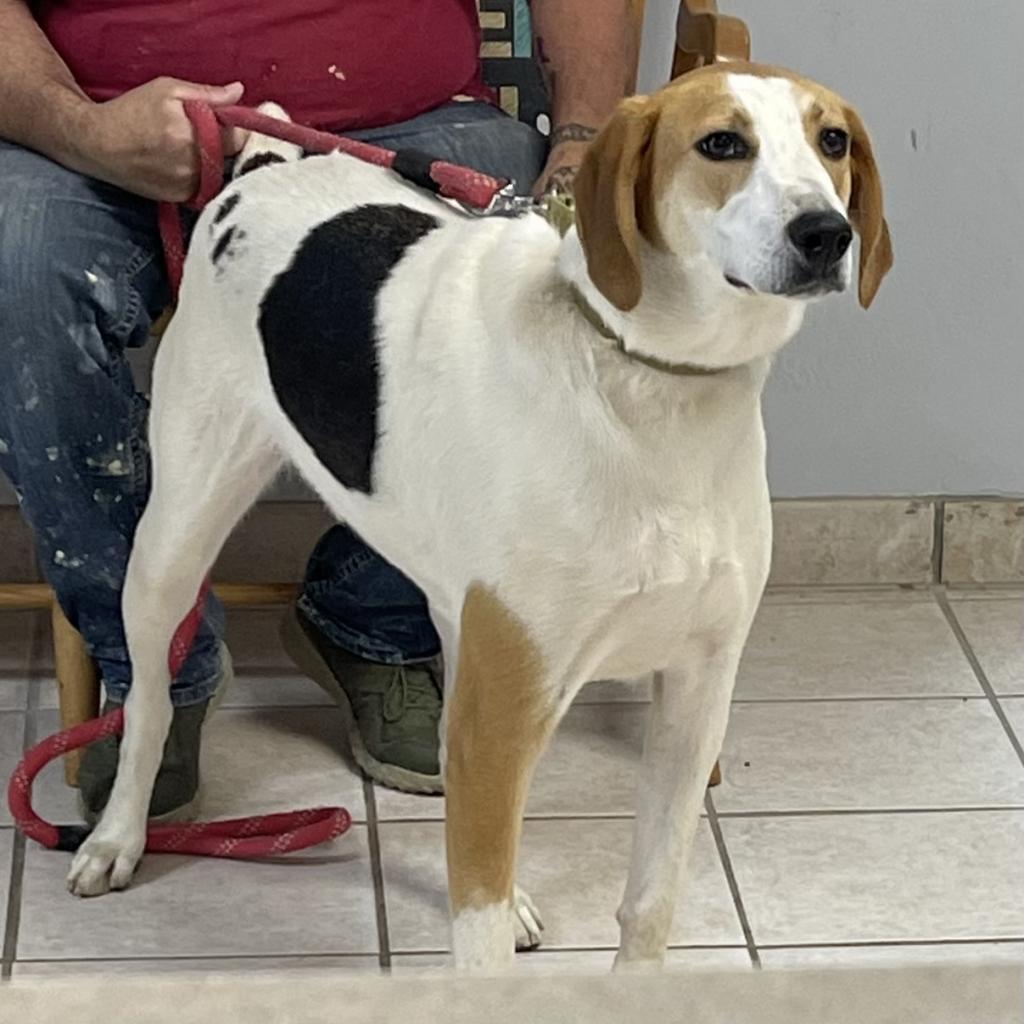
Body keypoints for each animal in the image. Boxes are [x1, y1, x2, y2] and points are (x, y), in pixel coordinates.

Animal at [64, 59, 888, 970]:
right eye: (721, 144)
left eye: (832, 141)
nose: (826, 233)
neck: (645, 386)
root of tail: (264, 167)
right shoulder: (506, 714)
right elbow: (479, 933)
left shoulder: (693, 699)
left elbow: (647, 907)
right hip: (173, 541)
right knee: (148, 702)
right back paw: (117, 837)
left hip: (461, 622)